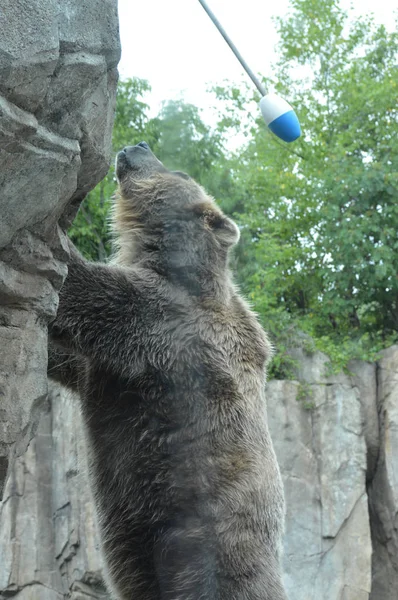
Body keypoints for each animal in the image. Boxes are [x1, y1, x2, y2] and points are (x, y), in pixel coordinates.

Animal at [48, 143, 288, 600]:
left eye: (178, 171)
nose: (136, 146)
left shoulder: (162, 321)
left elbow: (86, 294)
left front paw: (53, 245)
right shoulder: (103, 364)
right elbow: (65, 360)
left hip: (209, 544)